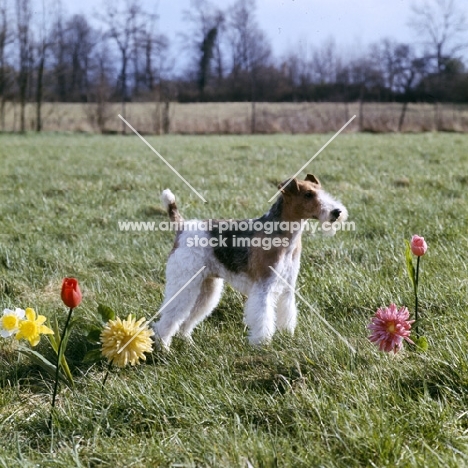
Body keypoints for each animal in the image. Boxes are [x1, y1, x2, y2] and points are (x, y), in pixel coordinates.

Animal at [154, 176, 348, 348]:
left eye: (320, 191)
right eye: (308, 194)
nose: (337, 212)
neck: (286, 237)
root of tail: (182, 226)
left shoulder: (287, 286)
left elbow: (287, 313)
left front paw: (287, 336)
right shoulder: (264, 286)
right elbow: (263, 317)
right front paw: (262, 345)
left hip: (206, 287)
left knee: (188, 318)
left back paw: (188, 342)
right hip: (184, 281)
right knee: (168, 319)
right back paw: (164, 347)